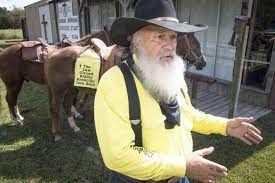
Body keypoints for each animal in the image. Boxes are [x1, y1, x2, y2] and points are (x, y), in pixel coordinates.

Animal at [44, 31, 207, 140]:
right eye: (196, 44)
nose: (203, 62)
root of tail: (51, 55)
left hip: (71, 88)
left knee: (67, 105)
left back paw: (74, 127)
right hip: (58, 90)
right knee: (54, 108)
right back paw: (57, 133)